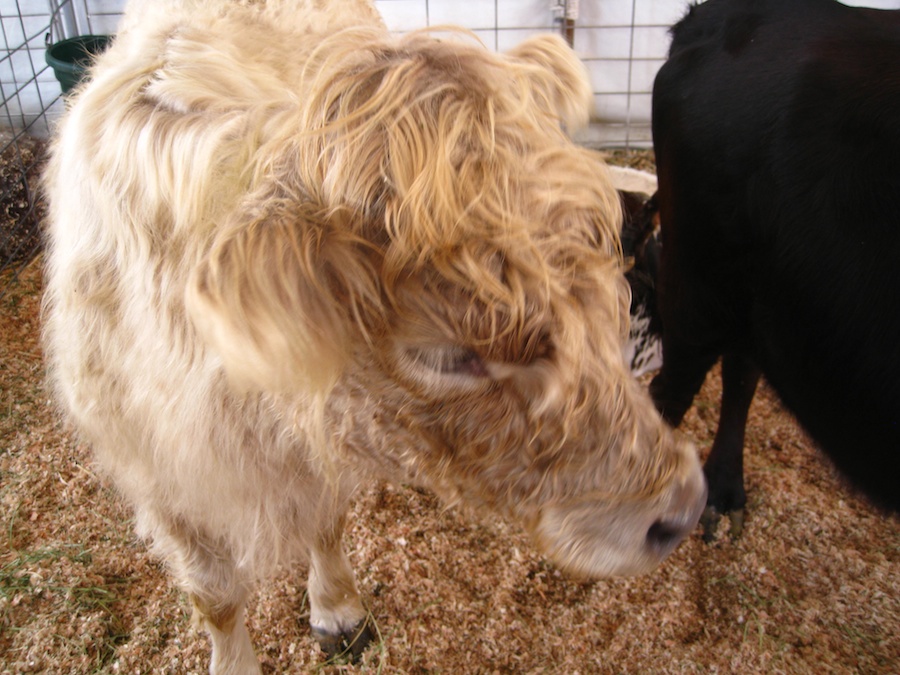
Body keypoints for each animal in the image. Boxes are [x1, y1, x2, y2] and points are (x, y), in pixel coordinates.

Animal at [42, 0, 708, 672]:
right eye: (443, 354)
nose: (680, 509)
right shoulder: (161, 481)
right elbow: (216, 598)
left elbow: (326, 524)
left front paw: (337, 608)